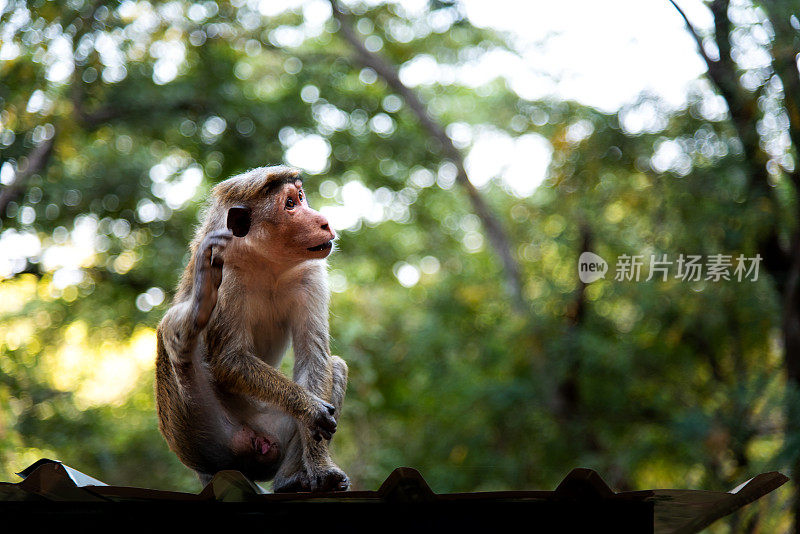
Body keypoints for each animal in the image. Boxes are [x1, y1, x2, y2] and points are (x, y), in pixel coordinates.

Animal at [156, 164, 350, 494]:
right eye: (289, 204)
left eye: (300, 197)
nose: (324, 221)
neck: (268, 263)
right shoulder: (226, 274)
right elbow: (229, 360)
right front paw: (309, 408)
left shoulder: (311, 274)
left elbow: (314, 358)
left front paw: (320, 466)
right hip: (195, 434)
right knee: (170, 333)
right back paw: (197, 308)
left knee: (334, 366)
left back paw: (288, 480)